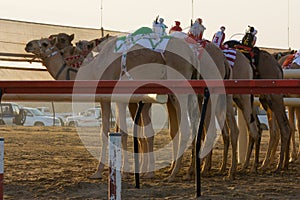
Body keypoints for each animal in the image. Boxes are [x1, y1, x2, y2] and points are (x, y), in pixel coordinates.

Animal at [225, 39, 290, 173]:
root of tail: (277, 65)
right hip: (264, 100)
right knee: (272, 130)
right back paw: (265, 164)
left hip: (273, 96)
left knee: (283, 128)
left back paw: (277, 165)